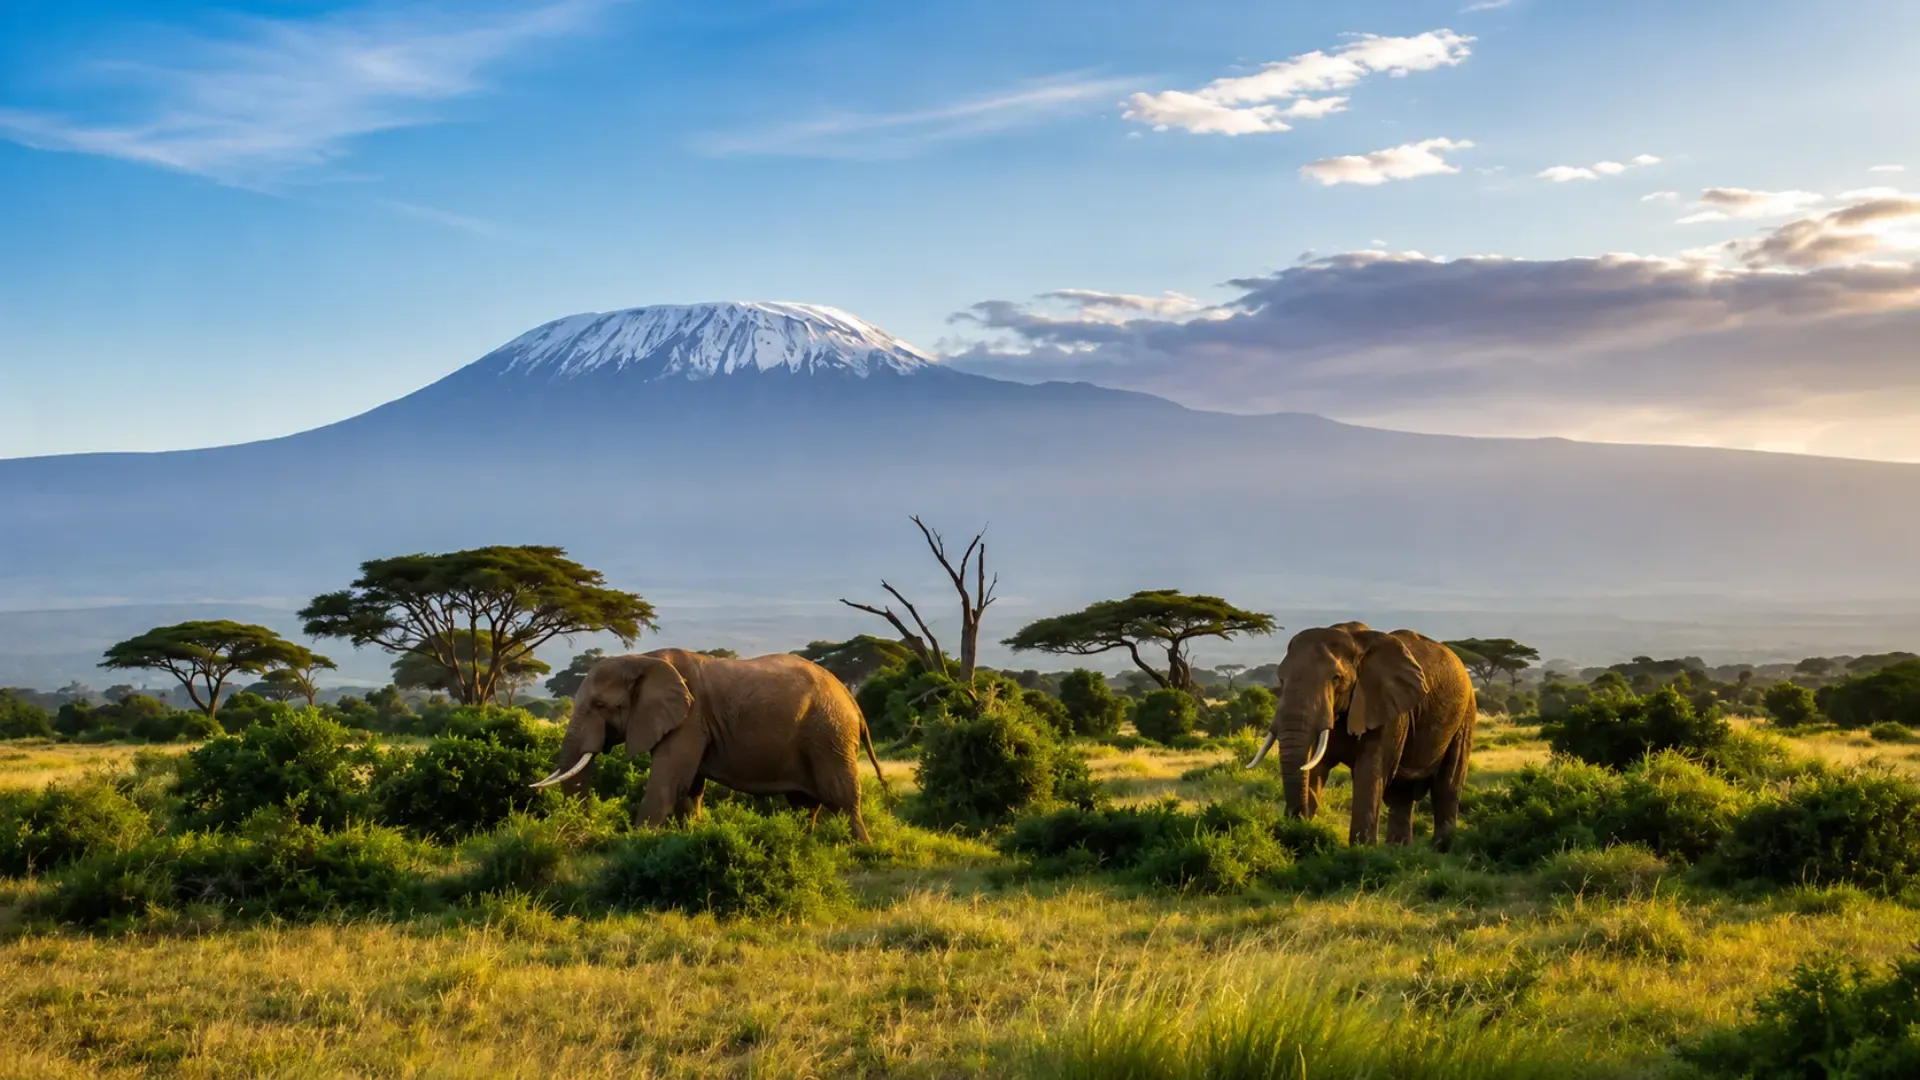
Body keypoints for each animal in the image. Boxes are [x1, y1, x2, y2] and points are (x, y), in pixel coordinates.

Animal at [531, 648, 888, 842]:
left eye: (600, 706)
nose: (586, 833)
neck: (644, 659)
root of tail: (852, 700)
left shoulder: (690, 720)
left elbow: (667, 784)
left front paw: (633, 844)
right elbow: (689, 790)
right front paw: (688, 836)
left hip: (829, 733)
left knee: (840, 796)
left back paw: (862, 850)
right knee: (804, 804)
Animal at [1246, 622, 1476, 849]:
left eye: (1336, 678)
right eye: (1280, 678)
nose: (1295, 821)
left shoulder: (1387, 707)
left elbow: (1371, 771)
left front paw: (1361, 850)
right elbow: (1317, 766)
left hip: (1465, 715)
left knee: (1447, 786)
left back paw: (1441, 849)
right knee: (1401, 793)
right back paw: (1397, 850)